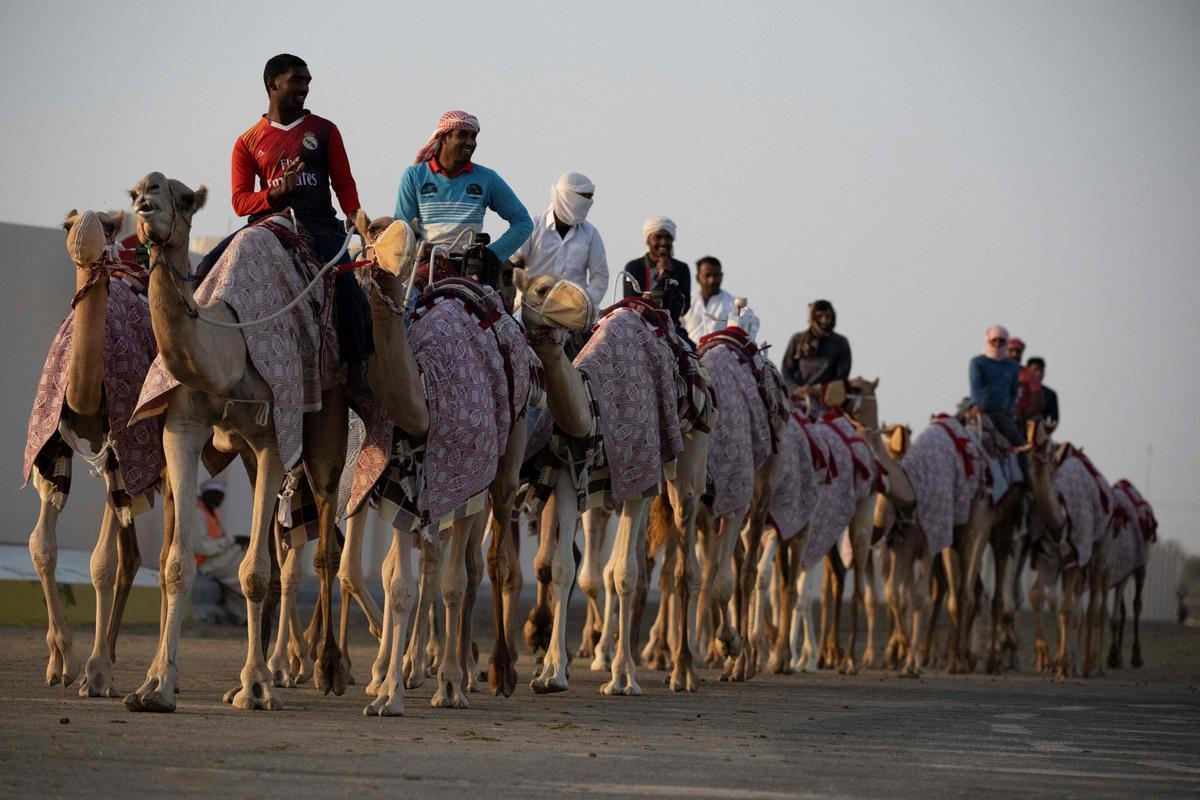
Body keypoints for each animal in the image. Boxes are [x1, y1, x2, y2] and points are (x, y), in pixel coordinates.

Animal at [24, 211, 169, 695]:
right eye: (68, 223)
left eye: (108, 225)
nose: (85, 225)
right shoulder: (51, 448)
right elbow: (41, 547)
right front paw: (60, 661)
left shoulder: (118, 454)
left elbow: (100, 564)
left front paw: (97, 671)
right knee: (134, 556)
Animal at [126, 173, 350, 714]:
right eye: (134, 193)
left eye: (184, 198)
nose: (147, 202)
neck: (226, 351)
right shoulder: (183, 428)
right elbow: (176, 564)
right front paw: (156, 687)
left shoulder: (273, 437)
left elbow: (254, 573)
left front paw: (256, 688)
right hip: (246, 454)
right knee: (271, 544)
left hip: (324, 426)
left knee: (323, 539)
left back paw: (325, 669)